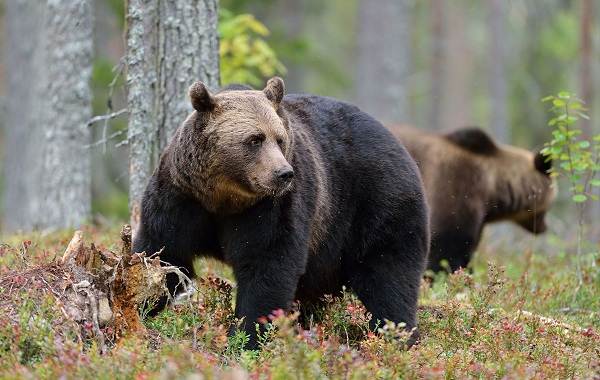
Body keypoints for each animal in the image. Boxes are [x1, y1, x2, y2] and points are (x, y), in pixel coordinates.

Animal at [133, 78, 428, 348]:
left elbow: (268, 264)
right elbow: (163, 253)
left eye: (279, 138)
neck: (225, 198)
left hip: (378, 203)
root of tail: (396, 140)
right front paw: (138, 303)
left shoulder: (272, 208)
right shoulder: (181, 199)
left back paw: (396, 338)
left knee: (388, 277)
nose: (284, 173)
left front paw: (247, 338)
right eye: (254, 139)